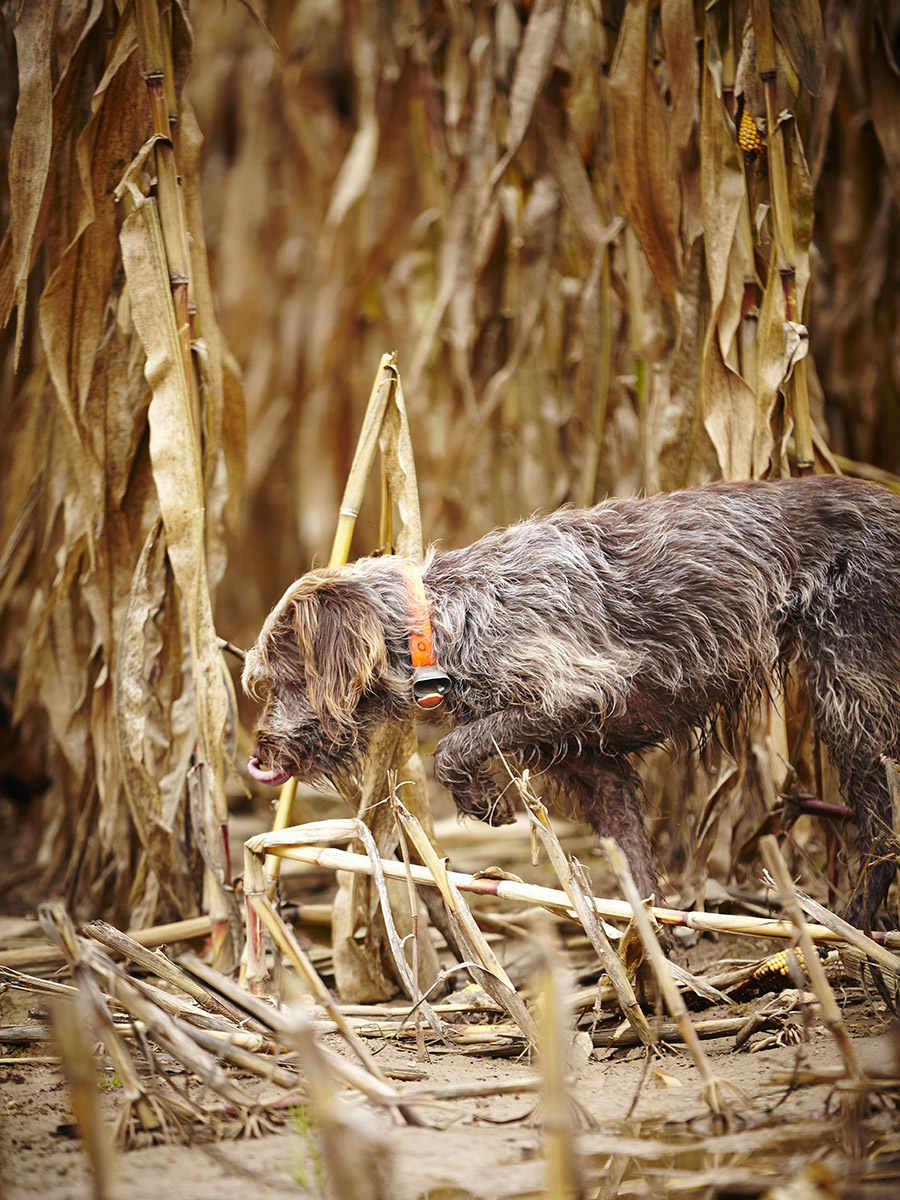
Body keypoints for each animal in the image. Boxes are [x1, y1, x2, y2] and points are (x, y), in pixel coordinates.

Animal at [243, 472, 900, 921]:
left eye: (281, 678)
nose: (261, 756)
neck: (446, 620)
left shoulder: (577, 693)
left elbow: (456, 745)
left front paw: (484, 803)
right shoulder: (594, 766)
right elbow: (633, 863)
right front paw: (651, 959)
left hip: (851, 702)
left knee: (881, 832)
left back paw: (853, 927)